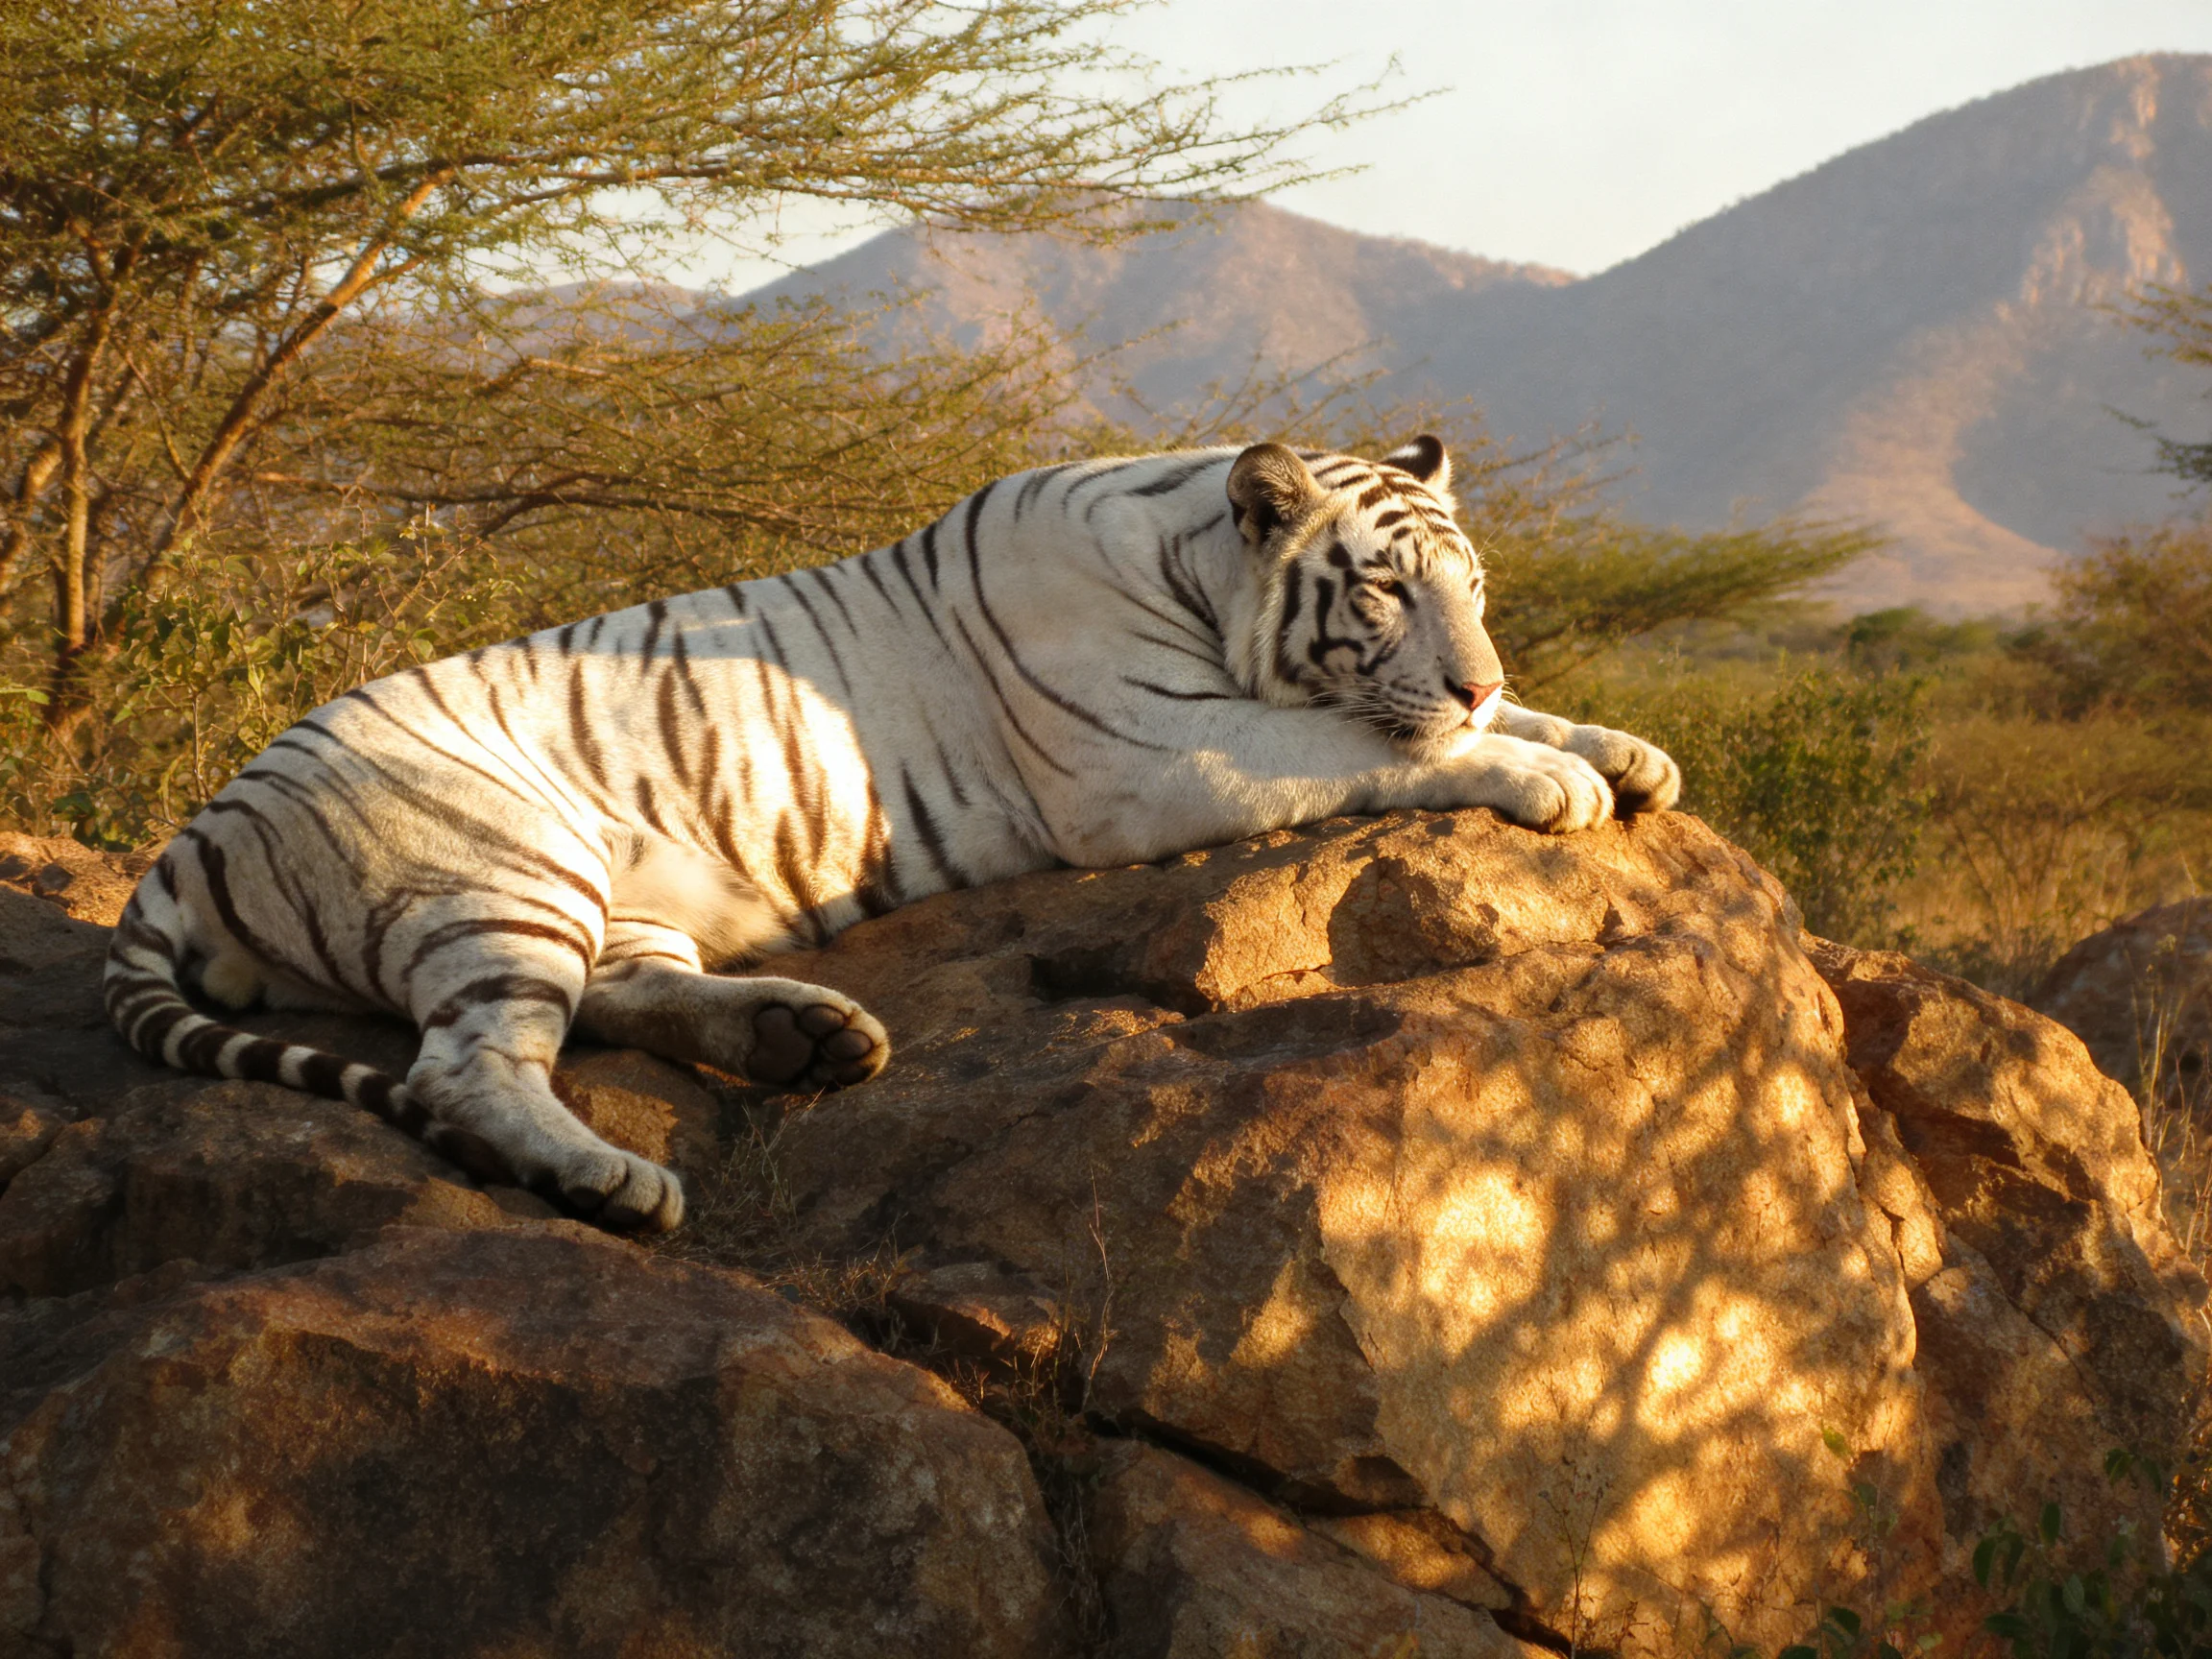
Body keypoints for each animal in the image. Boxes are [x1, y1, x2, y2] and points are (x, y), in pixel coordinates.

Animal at [105, 436, 1680, 1232]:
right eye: (1385, 590)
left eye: (1474, 589)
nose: (1472, 671)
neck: (1186, 556)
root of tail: (194, 831)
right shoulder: (1158, 761)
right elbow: (1371, 747)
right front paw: (1545, 776)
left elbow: (1482, 726)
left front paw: (1624, 751)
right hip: (502, 864)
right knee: (467, 1069)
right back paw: (612, 1179)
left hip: (601, 887)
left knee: (619, 992)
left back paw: (803, 1037)